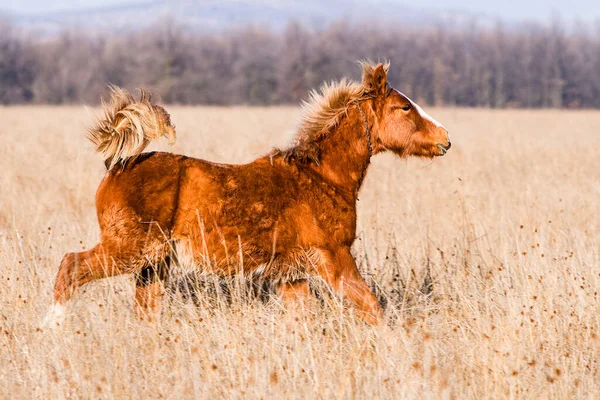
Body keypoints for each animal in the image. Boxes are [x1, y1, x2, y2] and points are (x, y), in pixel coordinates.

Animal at [45, 61, 450, 326]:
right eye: (404, 107)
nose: (445, 139)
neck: (323, 177)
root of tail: (115, 166)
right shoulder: (333, 257)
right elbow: (371, 307)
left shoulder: (291, 275)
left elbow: (305, 320)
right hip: (128, 250)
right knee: (70, 267)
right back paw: (51, 327)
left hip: (153, 264)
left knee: (144, 309)